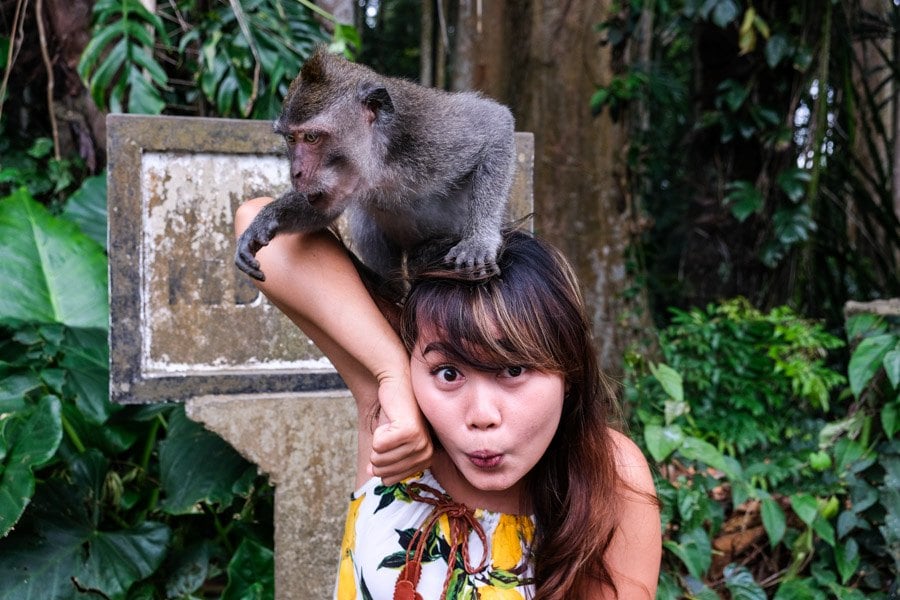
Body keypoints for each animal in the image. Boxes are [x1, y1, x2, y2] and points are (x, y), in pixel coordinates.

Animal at [234, 47, 512, 288]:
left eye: (312, 137)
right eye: (291, 139)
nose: (296, 173)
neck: (380, 160)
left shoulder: (430, 133)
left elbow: (496, 125)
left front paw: (479, 241)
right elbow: (322, 211)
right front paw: (269, 217)